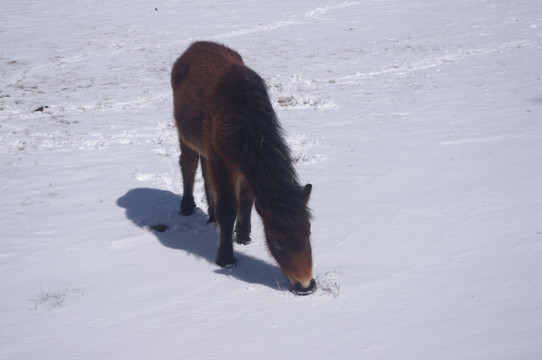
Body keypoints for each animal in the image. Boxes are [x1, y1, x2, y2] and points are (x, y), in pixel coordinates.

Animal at [172, 41, 316, 296]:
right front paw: (226, 257)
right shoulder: (222, 161)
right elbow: (228, 208)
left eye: (308, 231)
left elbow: (246, 200)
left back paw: (210, 215)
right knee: (188, 166)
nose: (306, 285)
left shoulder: (241, 165)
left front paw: (243, 235)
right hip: (186, 137)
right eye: (276, 242)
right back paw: (187, 207)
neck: (242, 119)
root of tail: (194, 47)